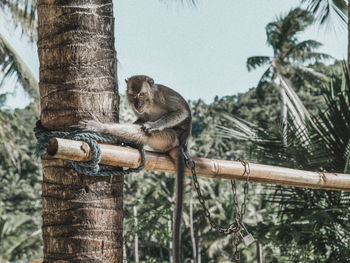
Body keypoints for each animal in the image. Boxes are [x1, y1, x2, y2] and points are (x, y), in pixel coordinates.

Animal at [78, 75, 191, 262]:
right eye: (133, 96)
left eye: (142, 95)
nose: (138, 104)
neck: (150, 103)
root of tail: (176, 146)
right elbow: (141, 118)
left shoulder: (162, 96)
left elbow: (182, 112)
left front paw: (154, 125)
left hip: (168, 139)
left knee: (145, 130)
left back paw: (103, 127)